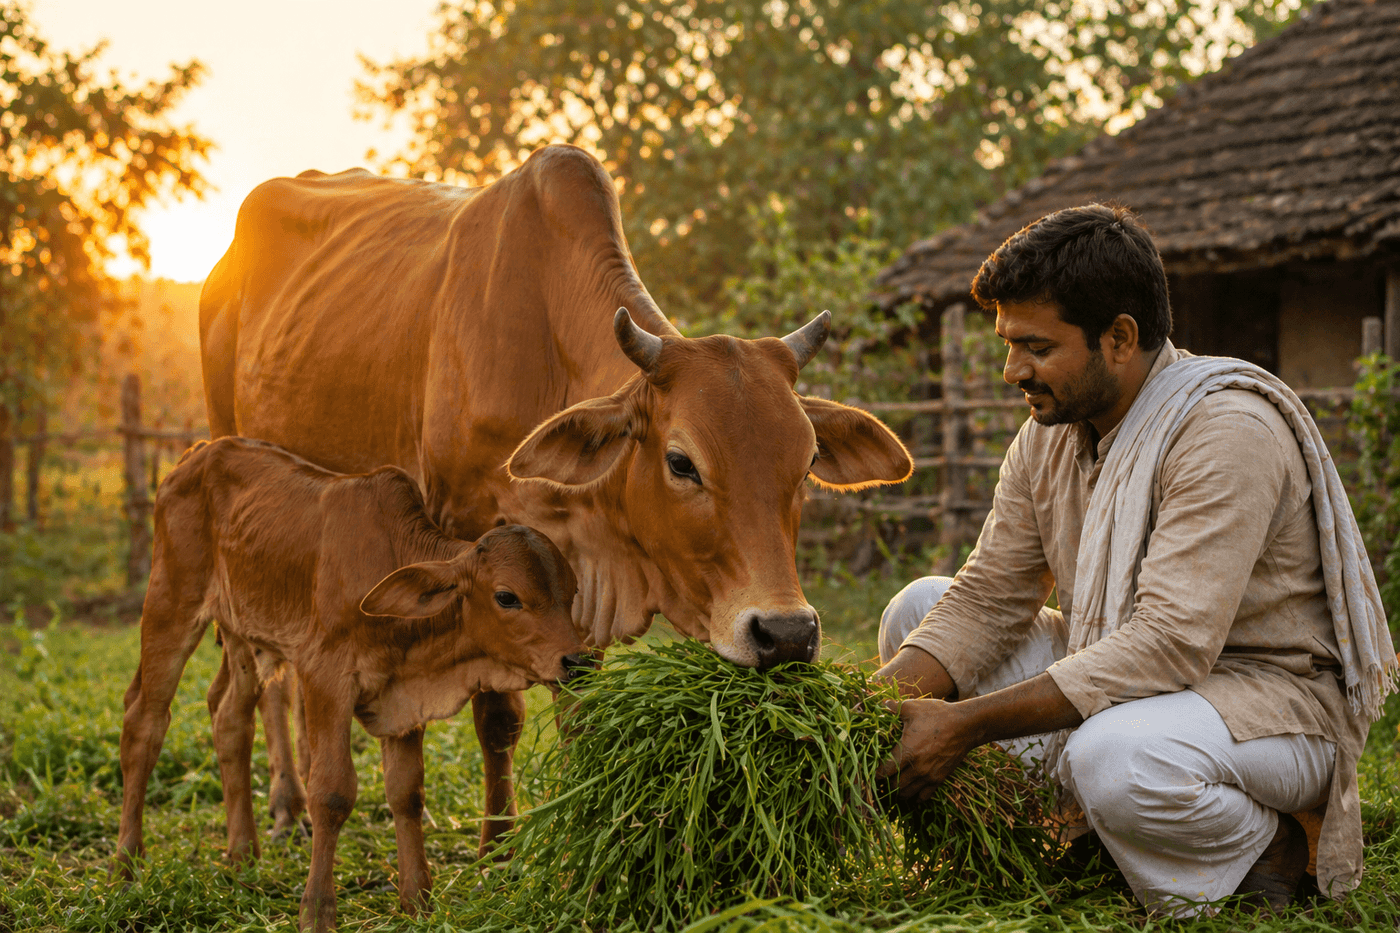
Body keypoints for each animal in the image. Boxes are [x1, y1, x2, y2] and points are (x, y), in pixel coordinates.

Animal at [114, 436, 588, 932]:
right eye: (507, 597)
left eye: (572, 591)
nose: (577, 660)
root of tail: (199, 451)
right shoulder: (325, 676)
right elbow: (332, 792)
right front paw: (317, 911)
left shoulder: (402, 699)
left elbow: (406, 792)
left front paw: (417, 901)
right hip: (171, 603)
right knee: (144, 723)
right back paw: (126, 866)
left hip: (245, 635)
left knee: (230, 721)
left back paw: (243, 857)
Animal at [199, 143, 914, 854]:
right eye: (682, 463)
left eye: (808, 463)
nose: (787, 634)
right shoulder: (474, 545)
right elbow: (498, 716)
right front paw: (498, 849)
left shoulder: (575, 584)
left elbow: (578, 703)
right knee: (263, 678)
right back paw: (286, 804)